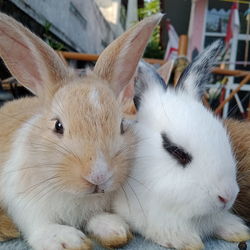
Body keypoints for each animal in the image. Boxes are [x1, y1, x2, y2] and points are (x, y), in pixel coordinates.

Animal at [0, 12, 163, 249]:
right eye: (58, 126)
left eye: (121, 126)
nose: (98, 176)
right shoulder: (23, 201)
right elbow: (38, 223)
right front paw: (65, 239)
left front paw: (114, 228)